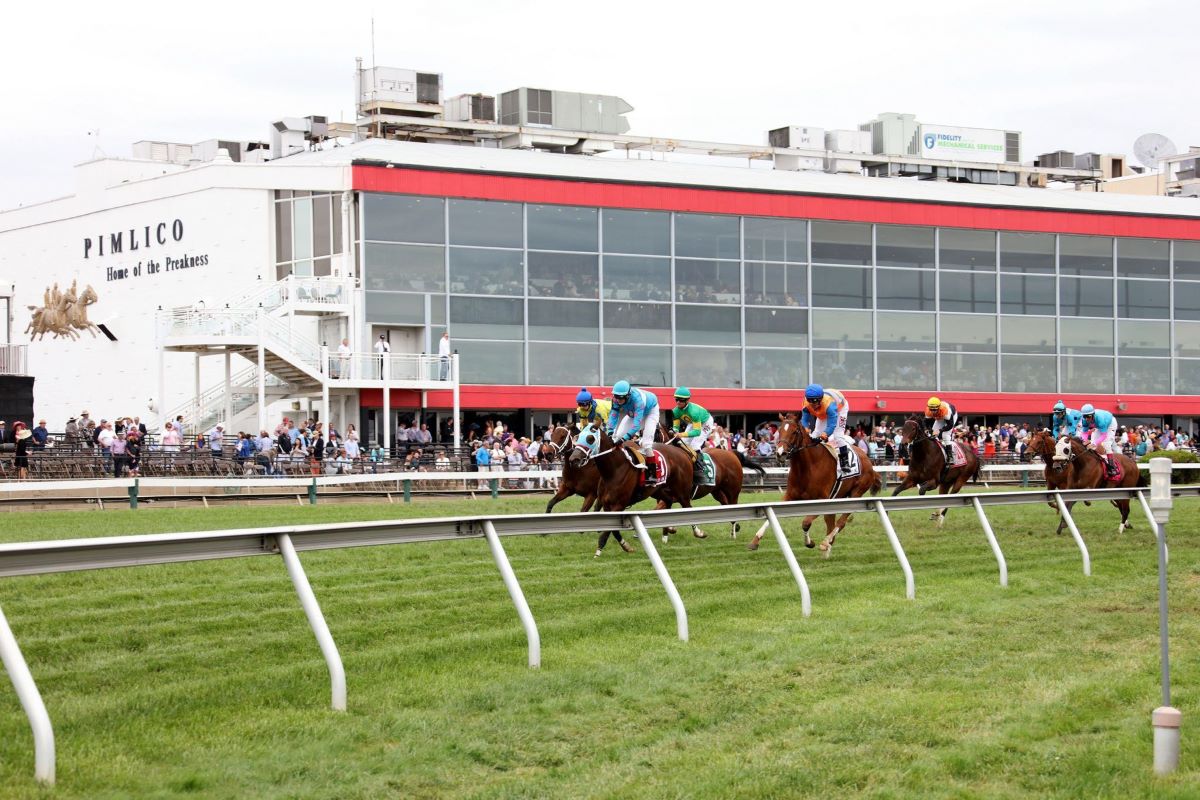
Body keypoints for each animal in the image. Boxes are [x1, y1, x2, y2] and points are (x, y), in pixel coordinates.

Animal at [744, 412, 888, 556]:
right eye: (779, 430)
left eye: (795, 431)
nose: (780, 453)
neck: (807, 467)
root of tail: (868, 461)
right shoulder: (790, 496)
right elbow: (771, 516)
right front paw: (755, 541)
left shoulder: (821, 500)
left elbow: (806, 523)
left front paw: (810, 542)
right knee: (831, 523)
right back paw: (828, 547)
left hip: (856, 494)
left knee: (841, 522)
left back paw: (826, 542)